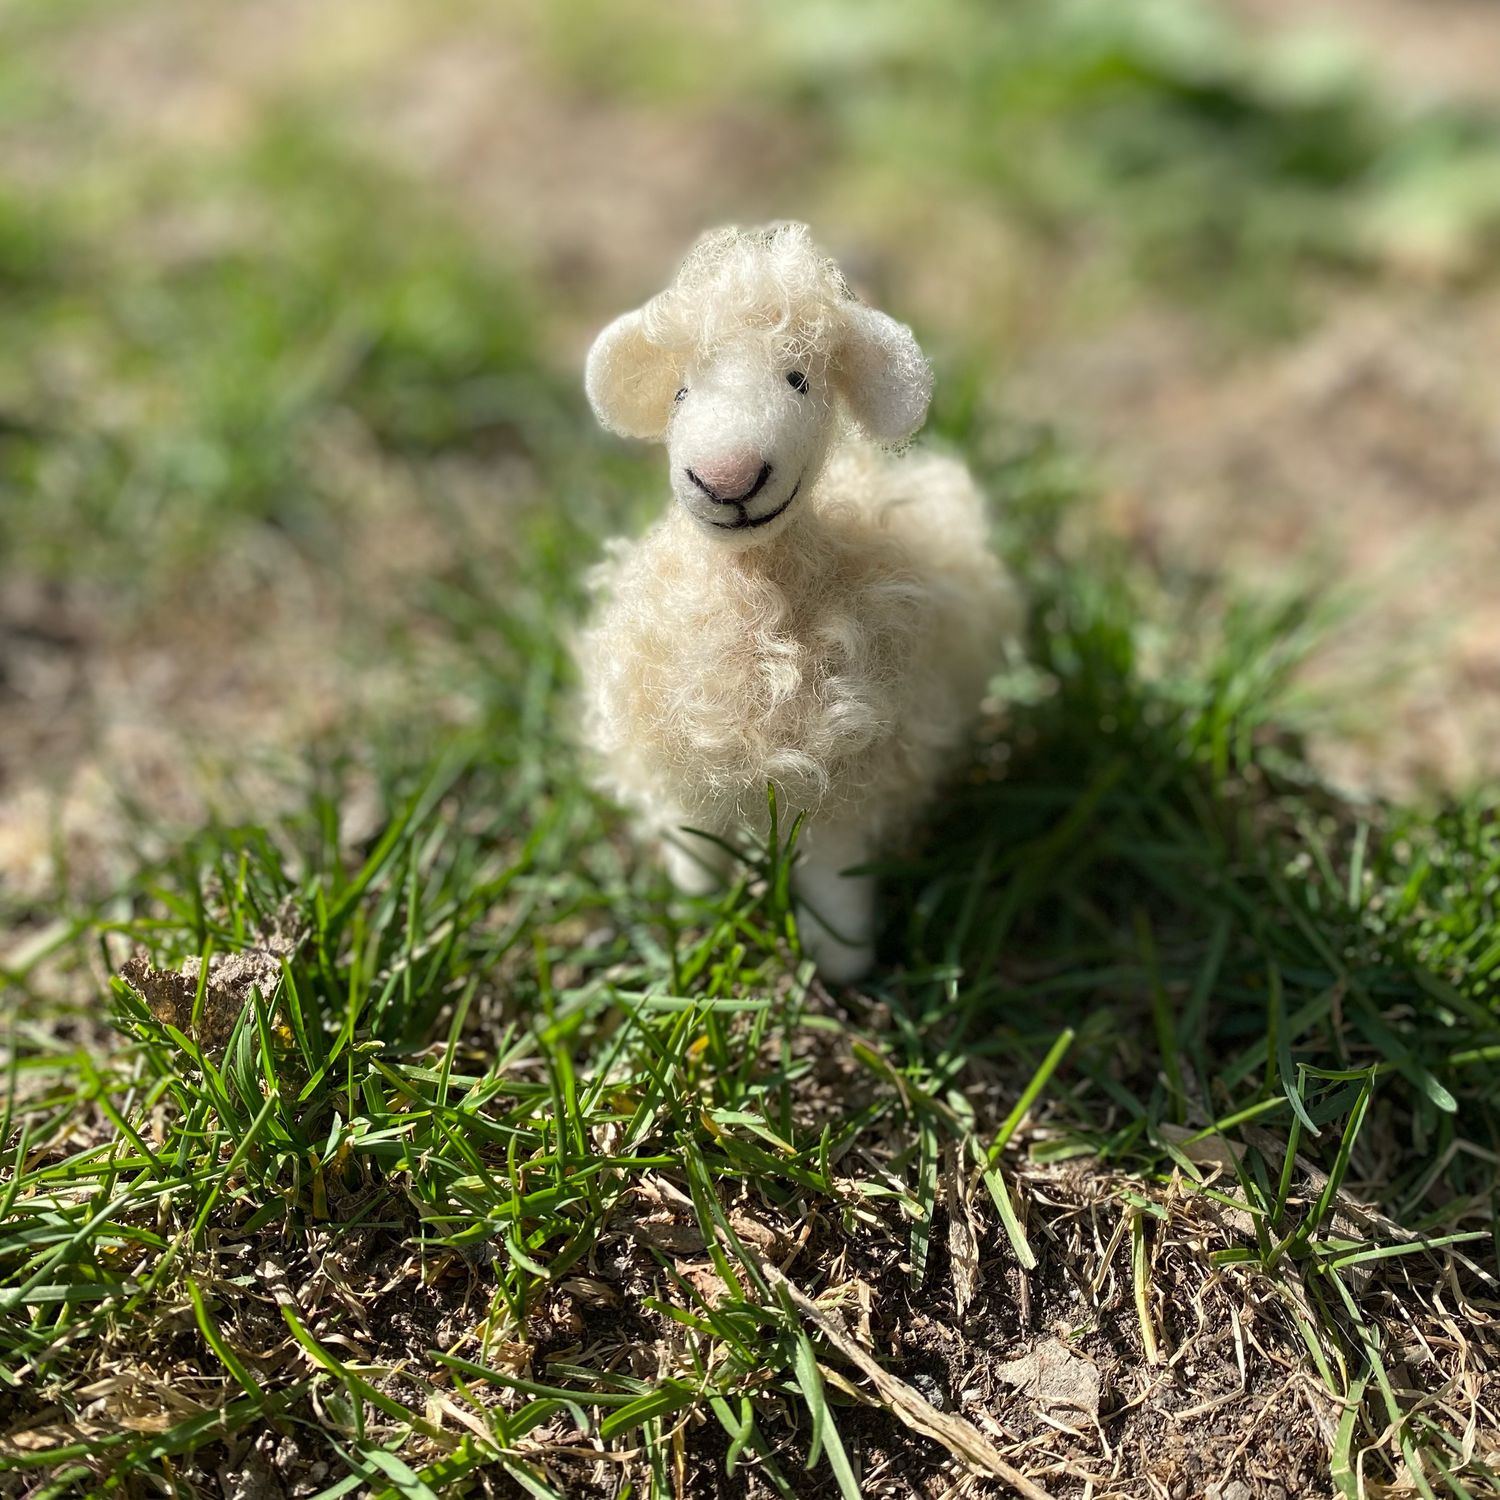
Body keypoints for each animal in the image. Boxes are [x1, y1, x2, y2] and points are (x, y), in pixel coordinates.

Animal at [576, 217, 1020, 978]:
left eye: (800, 380)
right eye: (681, 394)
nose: (726, 478)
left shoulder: (846, 781)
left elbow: (836, 884)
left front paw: (843, 965)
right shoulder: (684, 768)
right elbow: (694, 853)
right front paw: (690, 922)